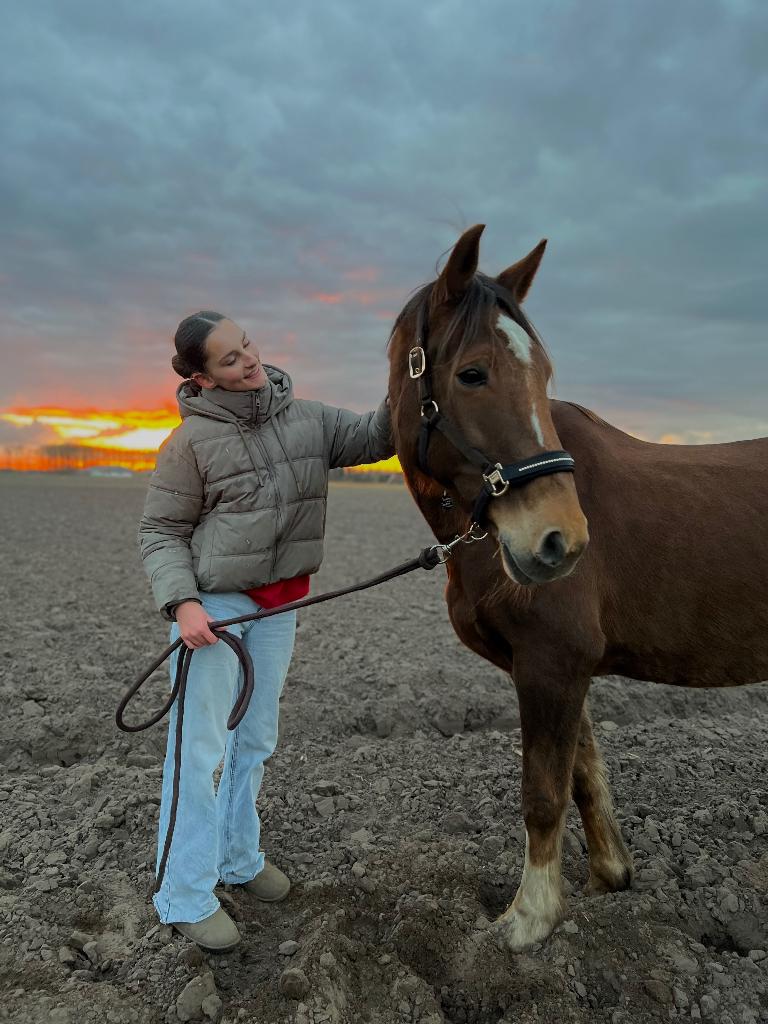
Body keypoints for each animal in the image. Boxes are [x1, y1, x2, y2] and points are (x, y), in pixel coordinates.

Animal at [387, 224, 768, 952]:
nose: (560, 541)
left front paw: (528, 920)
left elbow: (543, 791)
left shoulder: (553, 662)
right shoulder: (561, 667)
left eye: (543, 375)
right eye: (472, 373)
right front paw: (608, 877)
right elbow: (585, 774)